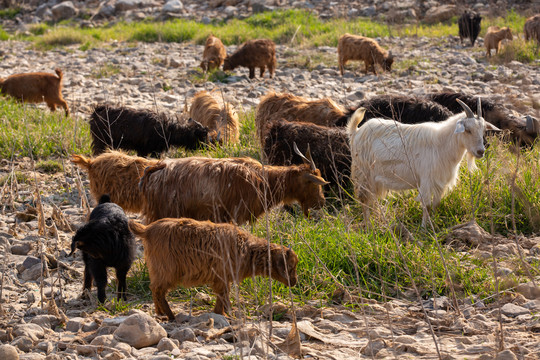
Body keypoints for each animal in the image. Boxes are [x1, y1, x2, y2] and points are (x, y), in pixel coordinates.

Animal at [130, 218, 300, 320]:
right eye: (290, 266)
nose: (294, 282)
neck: (247, 249)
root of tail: (146, 230)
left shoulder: (222, 278)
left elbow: (222, 295)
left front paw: (222, 313)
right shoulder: (222, 275)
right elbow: (224, 295)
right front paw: (227, 314)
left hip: (158, 271)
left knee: (154, 289)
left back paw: (160, 313)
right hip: (166, 270)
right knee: (158, 290)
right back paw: (170, 315)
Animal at [139, 152, 330, 225]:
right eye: (313, 184)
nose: (322, 202)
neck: (265, 180)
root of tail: (157, 167)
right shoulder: (238, 214)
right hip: (163, 213)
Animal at [348, 99, 500, 225]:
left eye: (483, 130)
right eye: (467, 130)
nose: (481, 151)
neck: (442, 144)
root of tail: (356, 132)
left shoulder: (440, 182)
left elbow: (435, 204)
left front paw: (434, 223)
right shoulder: (426, 180)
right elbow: (426, 205)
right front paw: (424, 228)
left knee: (371, 200)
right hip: (363, 174)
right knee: (364, 200)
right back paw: (369, 226)